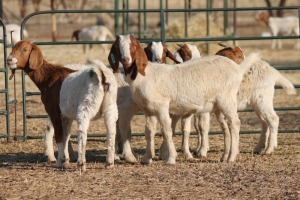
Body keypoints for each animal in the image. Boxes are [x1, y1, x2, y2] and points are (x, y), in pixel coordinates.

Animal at [6, 39, 118, 173]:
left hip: (86, 105)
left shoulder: (54, 111)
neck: (48, 77)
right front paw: (66, 160)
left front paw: (61, 162)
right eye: (13, 48)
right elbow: (66, 136)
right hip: (110, 106)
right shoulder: (66, 116)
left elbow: (59, 135)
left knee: (82, 132)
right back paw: (109, 163)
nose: (9, 60)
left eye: (25, 49)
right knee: (111, 131)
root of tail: (102, 74)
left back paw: (81, 164)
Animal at [108, 34, 260, 164]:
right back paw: (224, 157)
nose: (126, 60)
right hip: (218, 106)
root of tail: (237, 69)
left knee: (235, 123)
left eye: (133, 45)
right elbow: (149, 132)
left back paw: (232, 157)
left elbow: (166, 130)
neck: (146, 74)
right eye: (117, 47)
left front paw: (171, 158)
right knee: (225, 127)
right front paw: (147, 158)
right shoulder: (149, 110)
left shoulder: (162, 107)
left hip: (227, 99)